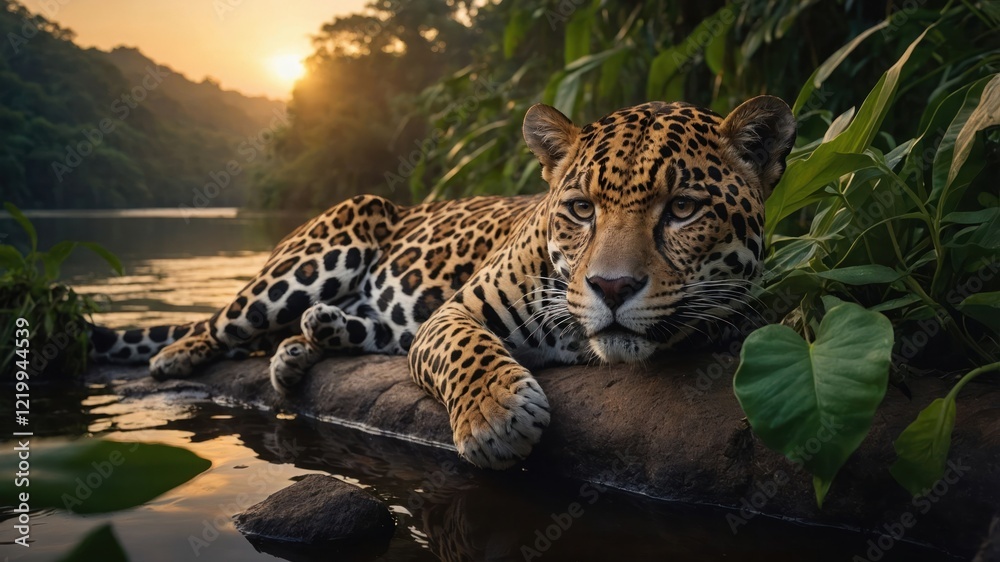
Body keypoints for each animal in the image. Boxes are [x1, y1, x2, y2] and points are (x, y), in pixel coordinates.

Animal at [90, 95, 796, 470]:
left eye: (683, 209)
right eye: (581, 209)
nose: (612, 288)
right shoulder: (455, 312)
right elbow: (467, 352)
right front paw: (494, 418)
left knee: (347, 332)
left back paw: (308, 341)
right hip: (323, 243)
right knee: (227, 320)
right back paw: (178, 354)